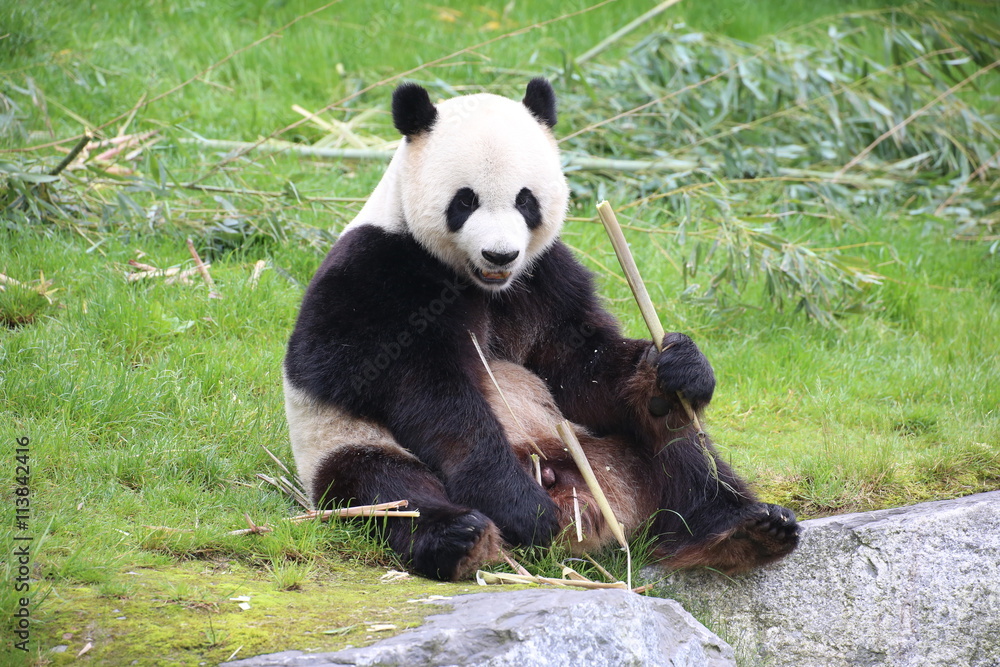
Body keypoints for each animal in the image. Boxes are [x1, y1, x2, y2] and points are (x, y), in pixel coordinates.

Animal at [283, 78, 799, 581]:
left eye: (525, 200)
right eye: (465, 200)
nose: (500, 254)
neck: (482, 284)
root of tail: (588, 504)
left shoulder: (545, 278)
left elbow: (579, 362)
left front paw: (679, 364)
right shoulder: (377, 268)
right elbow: (393, 379)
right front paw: (517, 506)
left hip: (605, 443)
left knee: (680, 447)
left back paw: (745, 528)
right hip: (343, 443)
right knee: (387, 489)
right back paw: (464, 537)